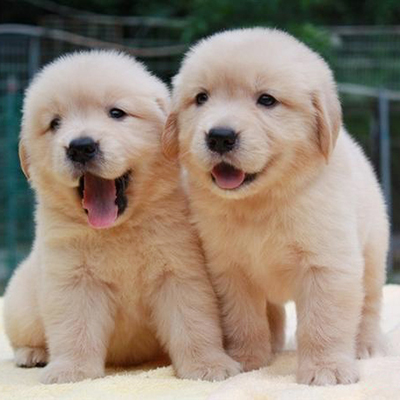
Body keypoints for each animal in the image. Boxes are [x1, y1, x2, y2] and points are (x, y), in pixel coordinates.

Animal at [3, 50, 240, 384]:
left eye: (116, 113)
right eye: (54, 123)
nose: (81, 147)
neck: (119, 228)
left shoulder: (180, 271)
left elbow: (193, 322)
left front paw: (208, 365)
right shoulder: (73, 279)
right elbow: (75, 329)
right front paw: (71, 372)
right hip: (20, 305)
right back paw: (32, 354)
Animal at [163, 28, 389, 385]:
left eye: (267, 100)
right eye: (201, 98)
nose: (220, 136)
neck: (260, 203)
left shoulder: (327, 264)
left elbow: (324, 322)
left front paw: (326, 369)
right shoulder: (229, 270)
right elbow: (243, 320)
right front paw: (248, 360)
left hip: (373, 254)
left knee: (369, 305)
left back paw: (366, 345)